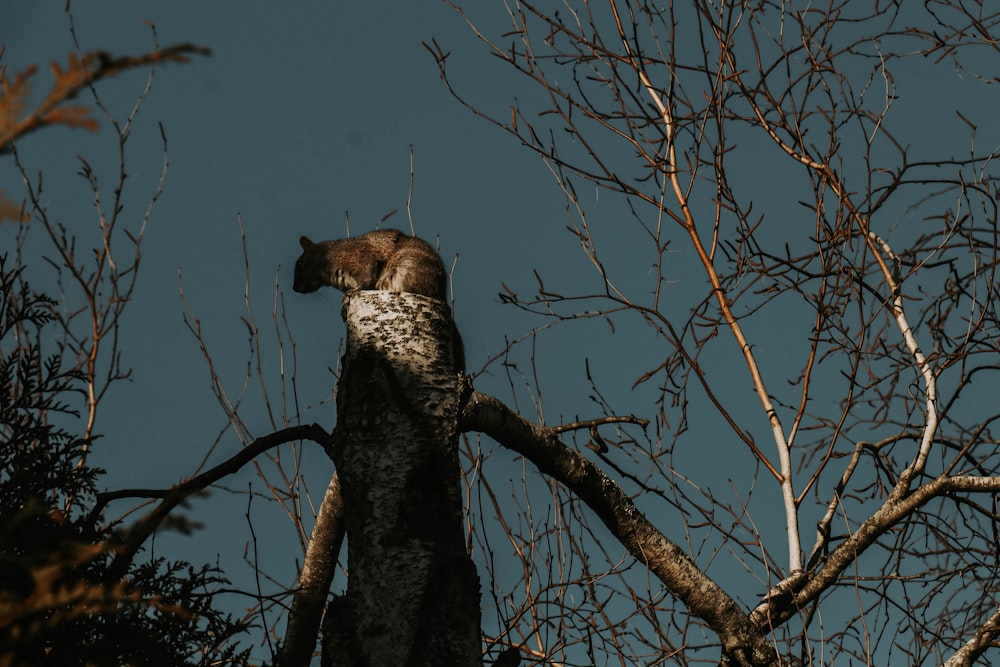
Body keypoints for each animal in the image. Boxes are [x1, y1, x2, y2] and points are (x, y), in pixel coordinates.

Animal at [292, 230, 464, 370]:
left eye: (300, 263)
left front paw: (350, 295)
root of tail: (440, 295)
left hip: (407, 268)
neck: (328, 258)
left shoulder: (359, 258)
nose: (294, 288)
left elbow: (366, 276)